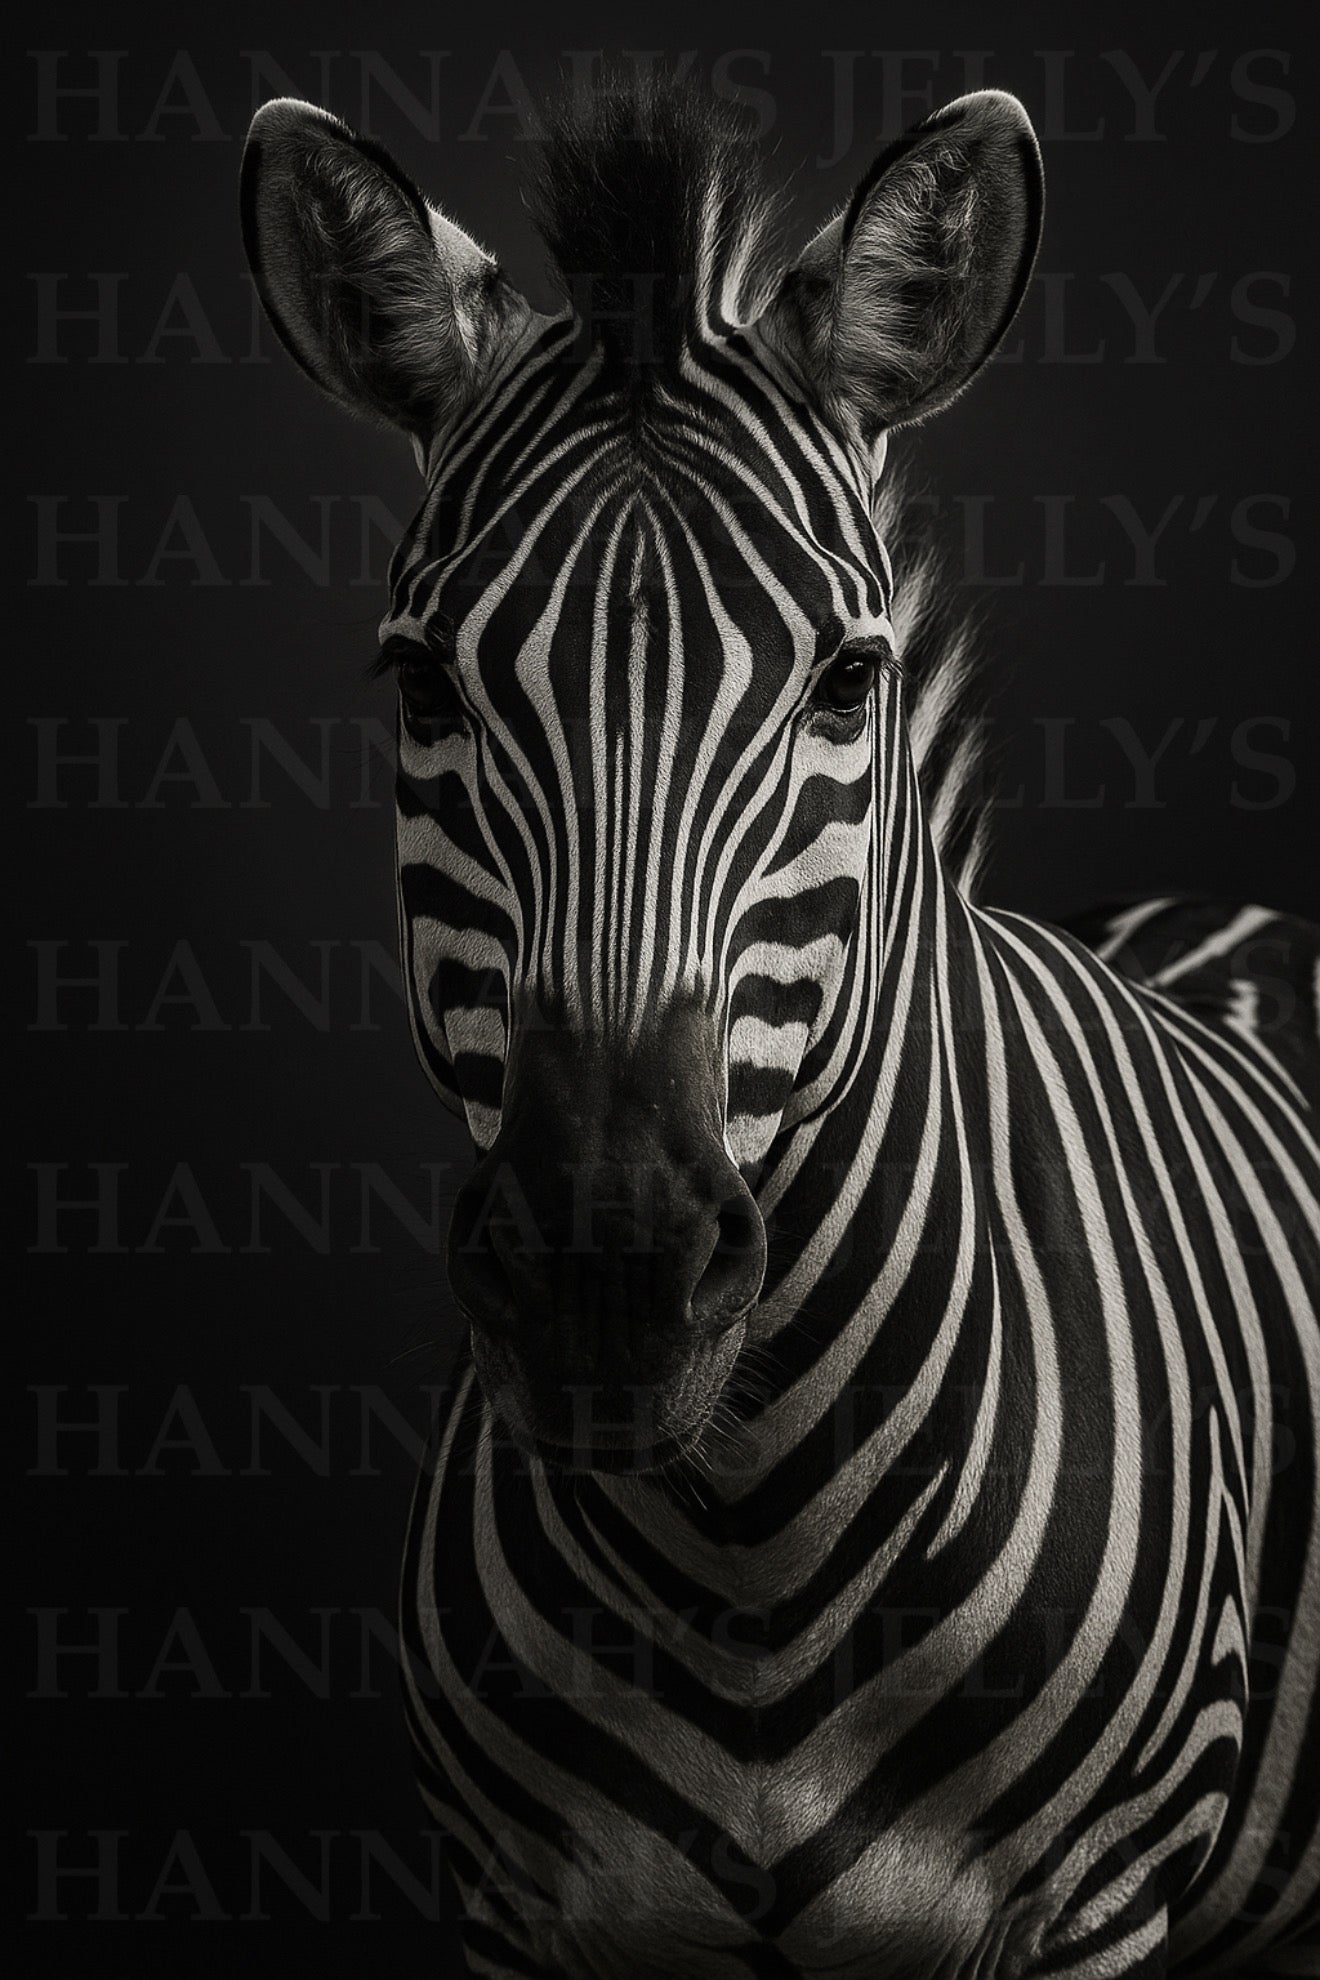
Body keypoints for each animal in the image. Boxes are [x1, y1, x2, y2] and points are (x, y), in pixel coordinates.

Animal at [241, 75, 1320, 1979]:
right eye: (423, 684)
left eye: (847, 681)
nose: (606, 1281)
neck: (747, 1534)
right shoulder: (515, 1914)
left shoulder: (1104, 1903)